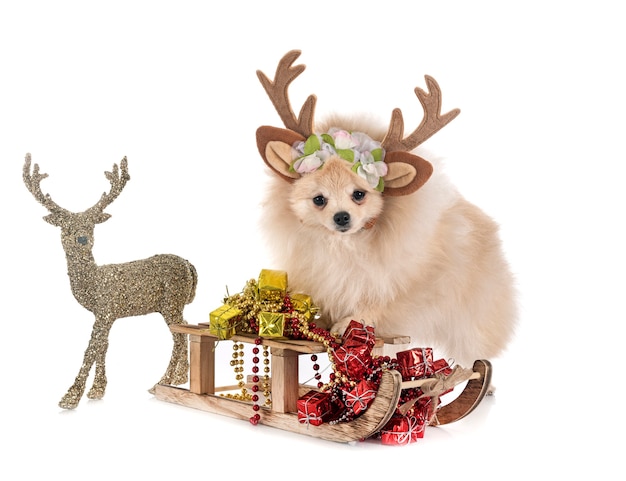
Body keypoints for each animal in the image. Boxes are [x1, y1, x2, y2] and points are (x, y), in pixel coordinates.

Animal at [254, 50, 516, 366]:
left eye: (359, 194)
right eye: (319, 199)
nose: (341, 217)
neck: (343, 247)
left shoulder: (412, 285)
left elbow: (379, 304)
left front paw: (349, 322)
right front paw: (323, 321)